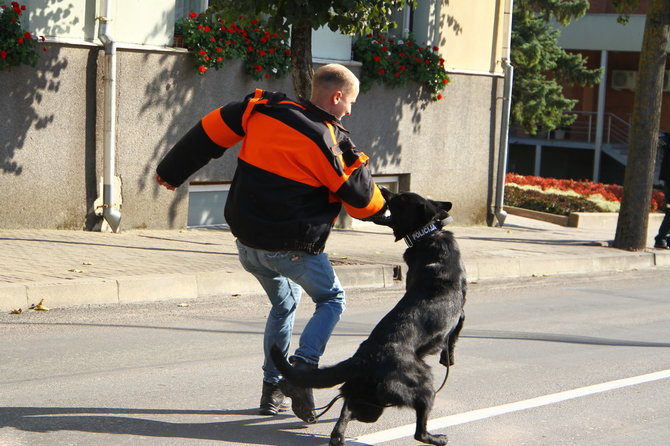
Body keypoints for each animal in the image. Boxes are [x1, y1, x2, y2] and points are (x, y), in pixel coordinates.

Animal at [270, 189, 470, 446]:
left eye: (401, 199)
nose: (383, 190)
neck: (427, 236)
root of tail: (363, 358)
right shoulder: (460, 316)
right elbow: (452, 341)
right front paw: (448, 359)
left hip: (370, 403)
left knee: (347, 410)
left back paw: (337, 436)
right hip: (422, 384)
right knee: (419, 431)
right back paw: (438, 437)